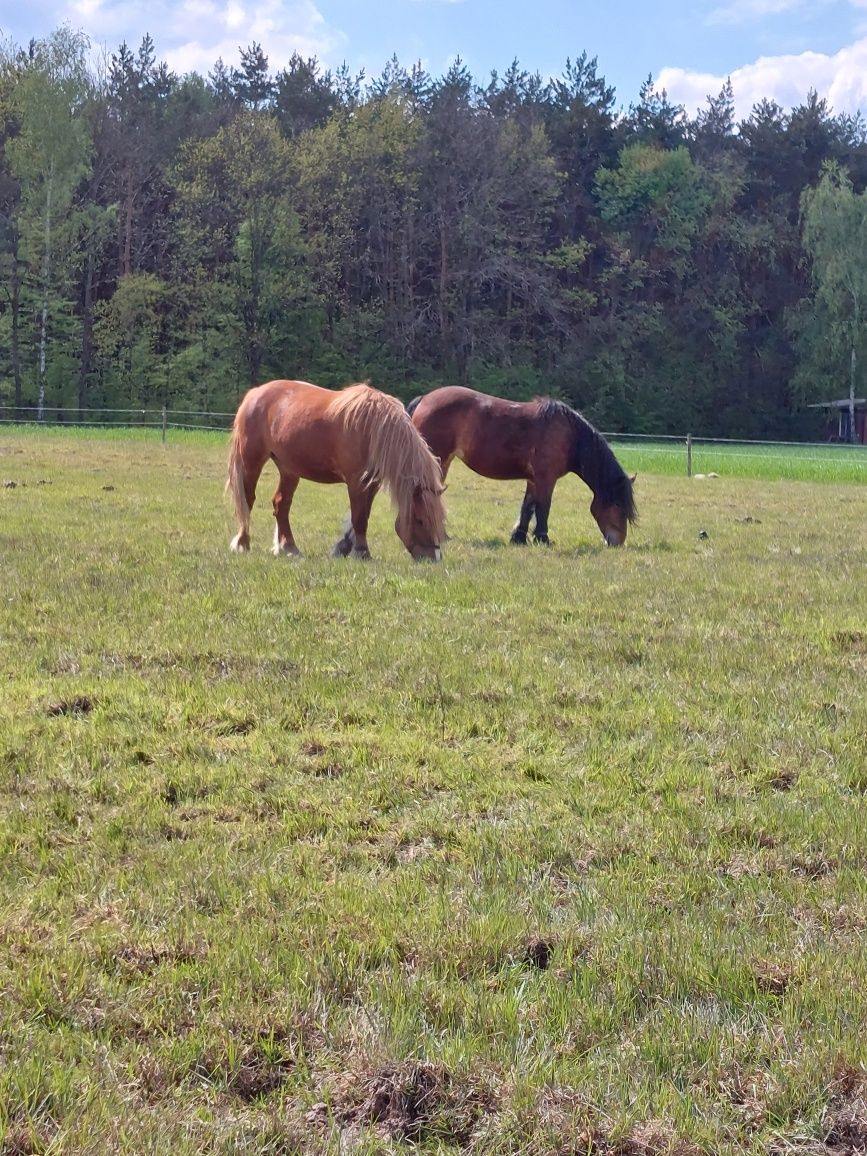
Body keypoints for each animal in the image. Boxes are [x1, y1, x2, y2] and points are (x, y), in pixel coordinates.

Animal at [227, 379, 448, 559]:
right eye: (419, 520)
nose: (433, 557)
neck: (373, 429)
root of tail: (255, 393)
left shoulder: (372, 483)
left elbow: (364, 515)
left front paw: (345, 548)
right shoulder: (356, 481)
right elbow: (359, 517)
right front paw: (361, 553)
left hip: (288, 469)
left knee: (281, 504)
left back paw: (289, 548)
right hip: (251, 461)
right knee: (247, 500)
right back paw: (243, 544)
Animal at [406, 386, 638, 543]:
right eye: (618, 506)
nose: (616, 542)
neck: (570, 436)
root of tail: (425, 399)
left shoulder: (534, 479)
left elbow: (528, 506)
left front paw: (519, 537)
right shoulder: (546, 478)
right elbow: (543, 506)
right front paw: (543, 538)